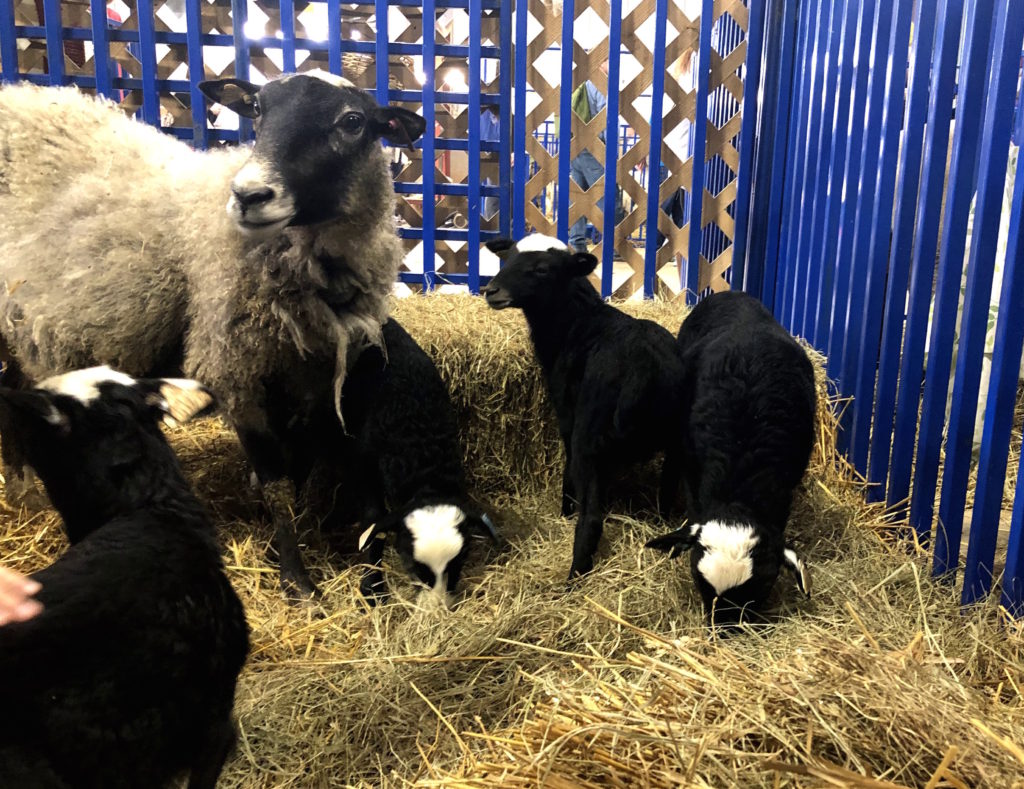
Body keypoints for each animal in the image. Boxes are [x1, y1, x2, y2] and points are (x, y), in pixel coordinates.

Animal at [0, 74, 425, 597]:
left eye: (352, 121)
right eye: (257, 109)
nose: (248, 195)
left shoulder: (309, 376)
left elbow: (299, 467)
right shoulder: (234, 369)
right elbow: (276, 482)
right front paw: (298, 581)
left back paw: (21, 487)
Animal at [342, 321, 497, 605]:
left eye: (457, 566)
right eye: (416, 569)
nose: (437, 610)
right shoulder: (362, 462)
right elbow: (373, 520)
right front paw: (372, 586)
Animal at [479, 234, 688, 581]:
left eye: (543, 269)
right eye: (507, 258)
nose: (491, 290)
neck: (577, 323)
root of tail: (643, 367)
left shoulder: (569, 415)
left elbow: (567, 468)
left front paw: (565, 510)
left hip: (589, 435)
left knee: (591, 520)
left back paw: (573, 577)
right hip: (676, 441)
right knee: (667, 497)